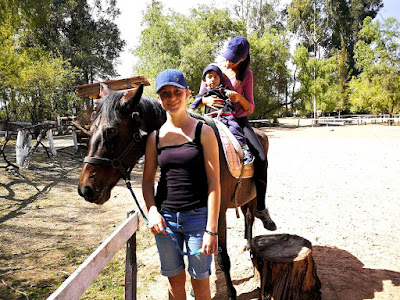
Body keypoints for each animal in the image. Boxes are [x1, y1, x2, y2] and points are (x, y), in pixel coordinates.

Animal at [77, 83, 272, 298]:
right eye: (90, 129)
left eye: (111, 131)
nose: (85, 189)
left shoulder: (218, 212)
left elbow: (222, 257)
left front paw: (231, 293)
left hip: (253, 195)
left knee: (250, 216)